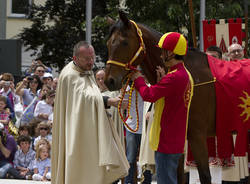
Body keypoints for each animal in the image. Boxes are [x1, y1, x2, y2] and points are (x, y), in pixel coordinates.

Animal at [104, 11, 216, 184]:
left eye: (124, 42)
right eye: (108, 43)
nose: (109, 81)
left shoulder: (197, 136)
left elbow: (204, 175)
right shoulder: (180, 139)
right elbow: (178, 175)